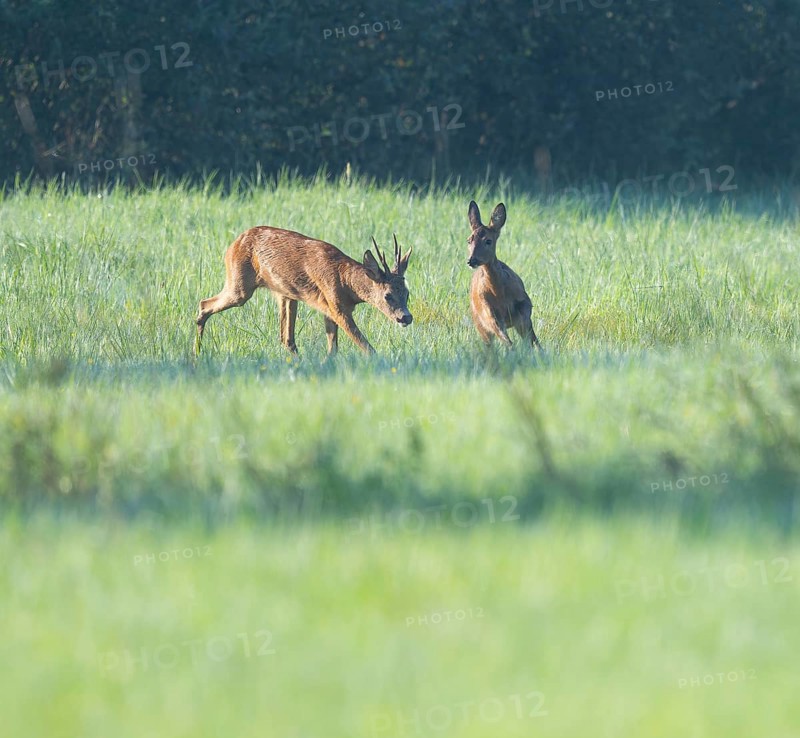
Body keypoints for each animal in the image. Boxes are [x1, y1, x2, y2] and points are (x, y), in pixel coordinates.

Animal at [195, 226, 413, 357]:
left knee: (286, 338)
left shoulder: (329, 309)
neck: (346, 282)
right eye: (387, 295)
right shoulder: (337, 307)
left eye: (407, 293)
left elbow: (332, 348)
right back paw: (196, 353)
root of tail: (233, 245)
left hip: (286, 294)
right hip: (239, 286)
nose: (406, 317)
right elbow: (363, 344)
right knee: (204, 304)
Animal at [466, 200, 541, 349]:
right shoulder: (487, 310)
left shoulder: (525, 302)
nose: (472, 260)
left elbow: (529, 333)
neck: (499, 293)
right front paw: (513, 348)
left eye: (488, 241)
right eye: (469, 240)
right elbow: (502, 334)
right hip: (478, 320)